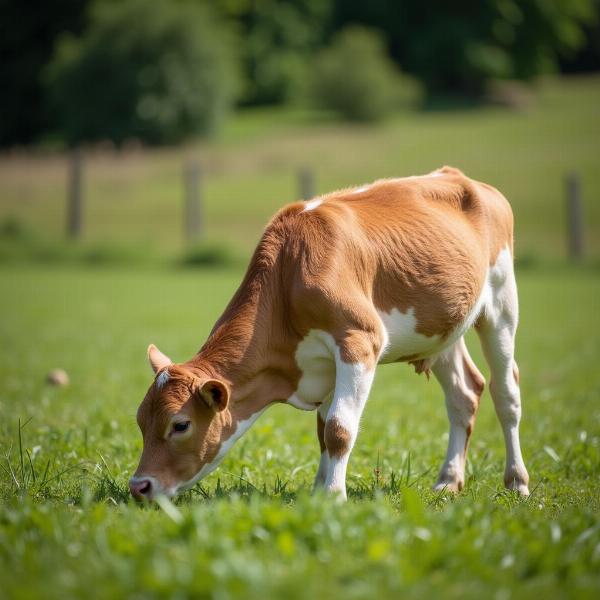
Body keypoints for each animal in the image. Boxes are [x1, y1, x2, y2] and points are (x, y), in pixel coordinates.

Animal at [130, 168, 528, 502]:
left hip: (501, 303)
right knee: (465, 394)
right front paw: (319, 491)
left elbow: (339, 429)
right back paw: (448, 480)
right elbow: (323, 431)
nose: (138, 486)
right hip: (441, 329)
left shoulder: (358, 341)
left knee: (506, 392)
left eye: (180, 424)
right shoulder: (323, 365)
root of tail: (463, 177)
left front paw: (334, 497)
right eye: (140, 420)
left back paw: (517, 482)